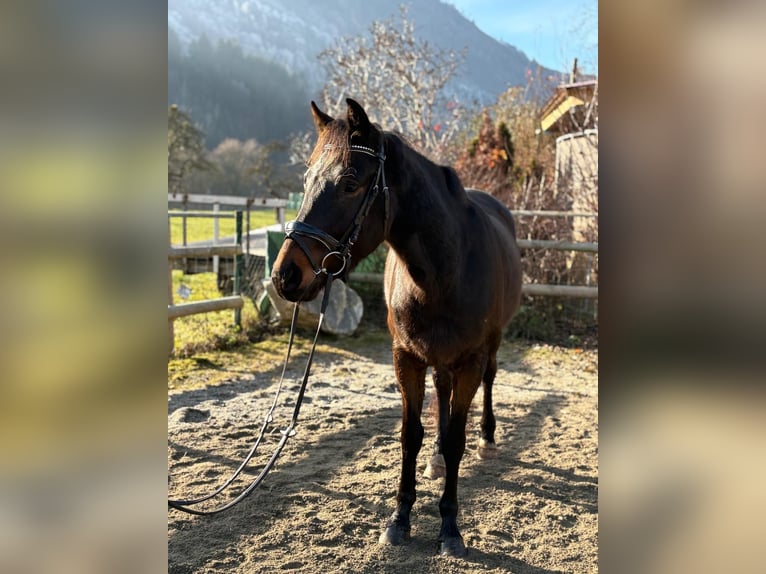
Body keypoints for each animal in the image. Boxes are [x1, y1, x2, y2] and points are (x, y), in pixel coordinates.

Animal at [272, 98, 522, 557]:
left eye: (350, 183)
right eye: (307, 178)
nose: (286, 275)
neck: (444, 271)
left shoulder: (471, 360)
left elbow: (457, 438)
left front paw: (450, 527)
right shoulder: (406, 357)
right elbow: (410, 435)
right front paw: (400, 518)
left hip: (490, 347)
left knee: (490, 382)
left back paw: (487, 438)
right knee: (442, 393)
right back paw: (436, 458)